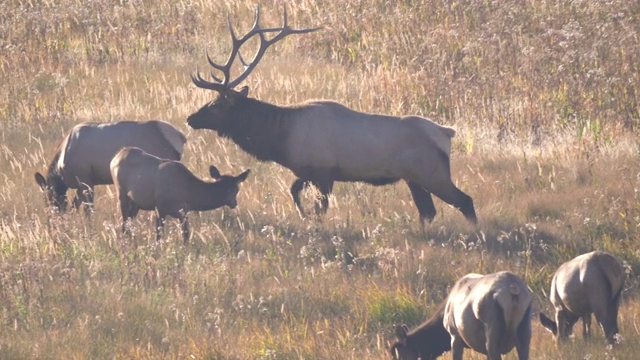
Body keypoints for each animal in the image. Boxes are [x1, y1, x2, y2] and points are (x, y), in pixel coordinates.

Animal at [34, 119, 185, 215]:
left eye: (48, 198)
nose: (54, 216)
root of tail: (181, 138)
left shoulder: (86, 180)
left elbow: (88, 210)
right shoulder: (83, 183)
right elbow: (75, 206)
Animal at [110, 146, 250, 245]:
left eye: (236, 189)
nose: (234, 203)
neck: (188, 193)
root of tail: (115, 157)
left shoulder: (183, 212)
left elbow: (186, 235)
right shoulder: (159, 207)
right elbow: (159, 236)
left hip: (136, 202)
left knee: (129, 222)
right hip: (121, 192)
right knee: (125, 221)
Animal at [185, 5, 476, 225]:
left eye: (216, 104)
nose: (190, 118)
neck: (281, 138)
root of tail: (447, 133)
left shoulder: (324, 172)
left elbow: (320, 207)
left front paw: (312, 221)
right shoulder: (308, 170)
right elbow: (294, 190)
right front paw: (304, 216)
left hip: (432, 173)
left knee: (465, 201)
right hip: (414, 178)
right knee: (428, 211)